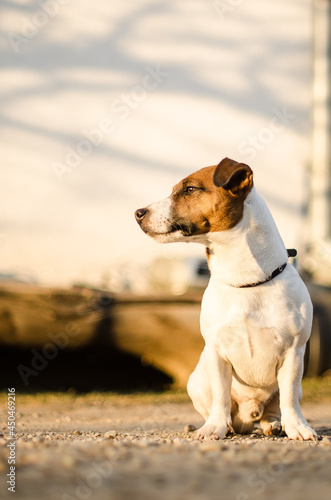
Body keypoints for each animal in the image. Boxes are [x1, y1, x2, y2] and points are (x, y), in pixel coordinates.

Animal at [136, 157, 320, 442]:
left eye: (189, 189)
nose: (138, 212)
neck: (245, 280)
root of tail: (249, 414)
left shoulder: (293, 353)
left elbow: (288, 397)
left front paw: (297, 427)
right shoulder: (217, 353)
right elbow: (220, 397)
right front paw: (216, 427)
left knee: (276, 406)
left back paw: (273, 424)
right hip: (196, 382)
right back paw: (228, 425)